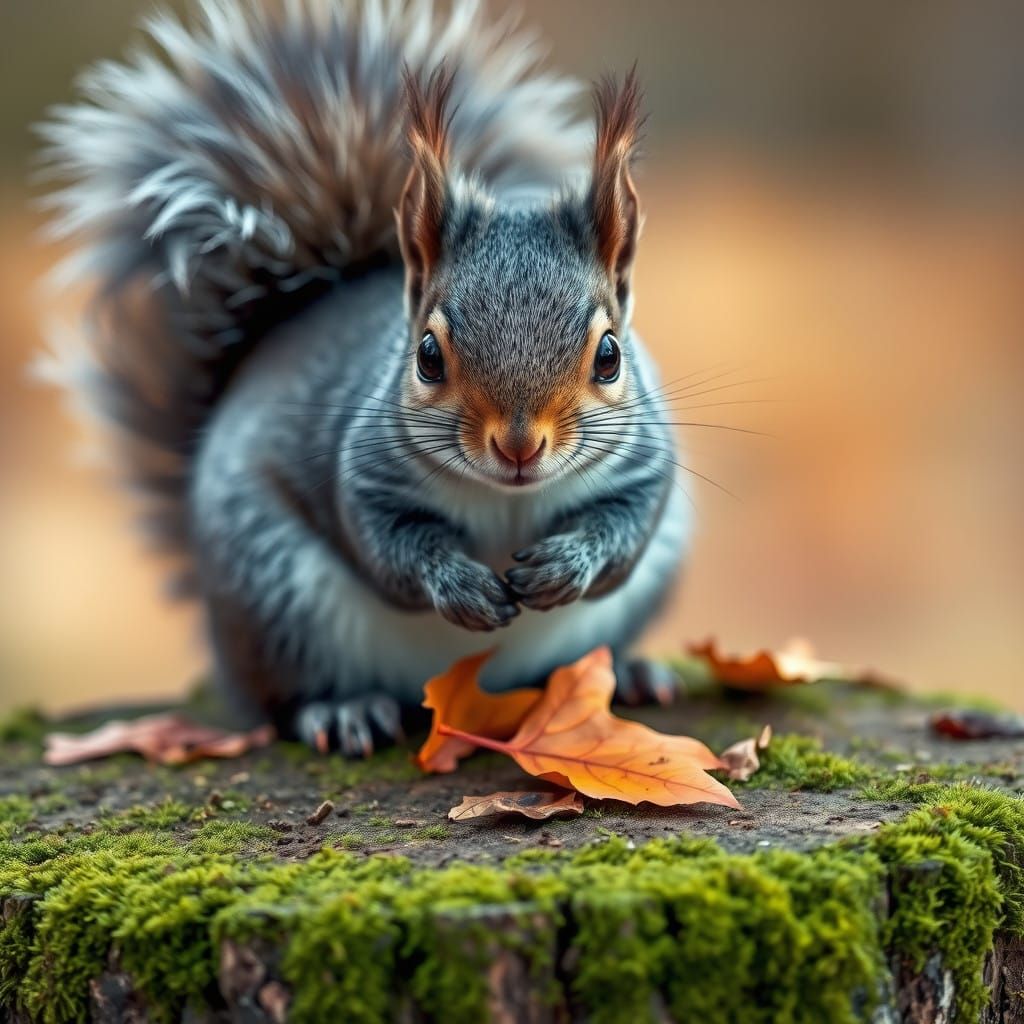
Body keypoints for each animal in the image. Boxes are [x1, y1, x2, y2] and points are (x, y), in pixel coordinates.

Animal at [39, 0, 690, 756]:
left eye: (610, 355)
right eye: (428, 356)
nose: (519, 446)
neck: (509, 500)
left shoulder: (647, 464)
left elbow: (627, 530)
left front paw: (569, 566)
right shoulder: (362, 467)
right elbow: (386, 545)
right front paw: (456, 585)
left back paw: (633, 673)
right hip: (273, 592)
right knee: (281, 698)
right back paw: (341, 709)